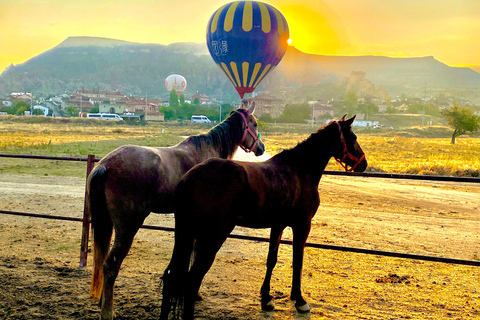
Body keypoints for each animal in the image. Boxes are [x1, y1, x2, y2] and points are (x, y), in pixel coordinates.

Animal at [87, 103, 264, 320]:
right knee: (111, 264)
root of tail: (105, 165)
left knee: (103, 261)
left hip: (107, 223)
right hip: (127, 227)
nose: (261, 148)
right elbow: (196, 255)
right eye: (254, 124)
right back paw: (108, 312)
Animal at [159, 116, 366, 318]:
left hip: (186, 234)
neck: (299, 170)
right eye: (354, 137)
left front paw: (266, 298)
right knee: (192, 282)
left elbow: (271, 260)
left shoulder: (278, 225)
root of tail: (189, 179)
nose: (364, 164)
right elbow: (297, 262)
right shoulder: (302, 226)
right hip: (212, 236)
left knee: (170, 277)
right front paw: (300, 300)